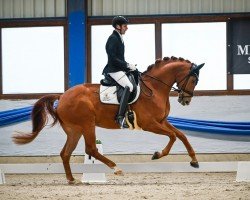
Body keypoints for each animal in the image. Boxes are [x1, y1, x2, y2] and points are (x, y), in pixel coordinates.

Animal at [12, 56, 204, 184]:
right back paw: (116, 168)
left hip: (74, 130)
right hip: (87, 124)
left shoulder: (161, 121)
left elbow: (181, 135)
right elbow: (173, 136)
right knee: (91, 149)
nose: (186, 100)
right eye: (194, 79)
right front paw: (157, 154)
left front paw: (194, 161)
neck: (154, 88)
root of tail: (62, 96)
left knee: (65, 153)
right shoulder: (149, 124)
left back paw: (72, 179)